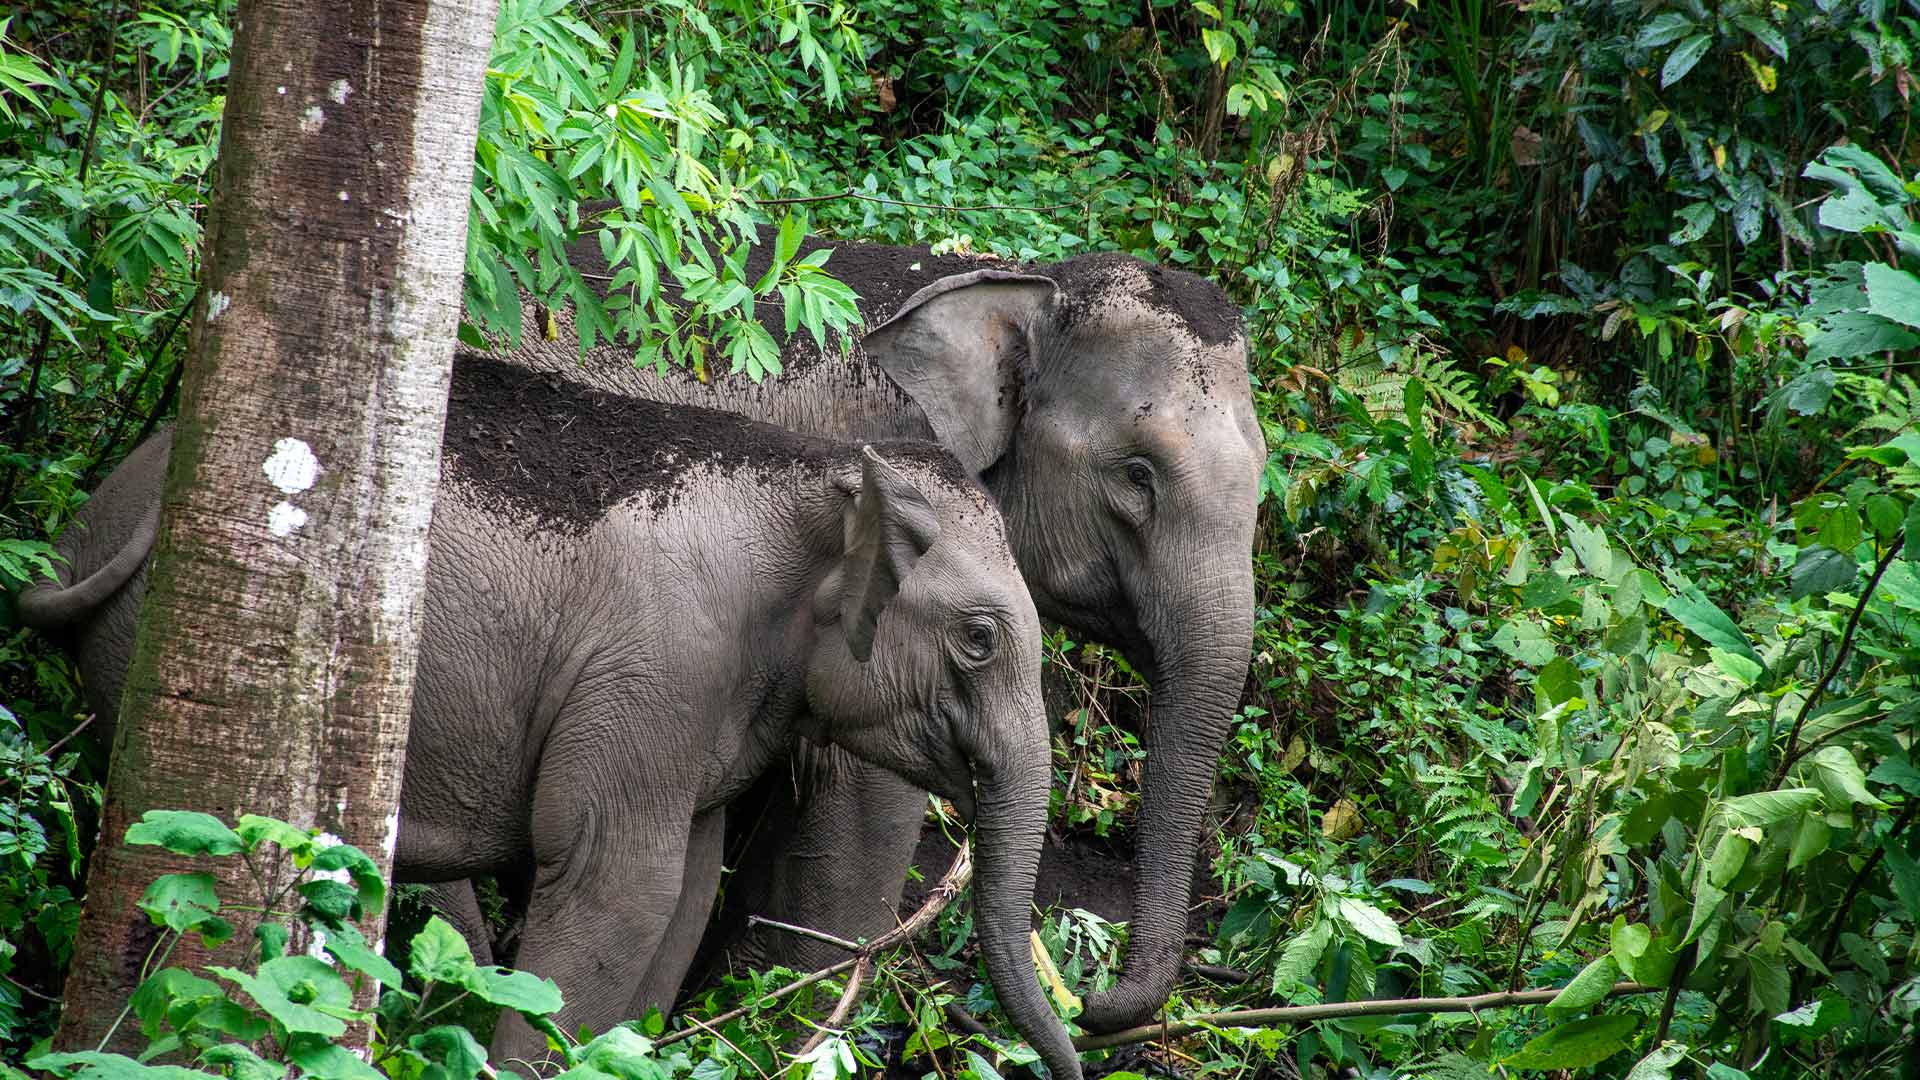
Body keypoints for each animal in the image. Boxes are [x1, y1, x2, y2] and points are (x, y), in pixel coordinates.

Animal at [18, 357, 1082, 1068]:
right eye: (979, 638)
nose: (1075, 1054)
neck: (821, 474)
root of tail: (108, 505)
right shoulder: (659, 666)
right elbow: (621, 883)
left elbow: (683, 889)